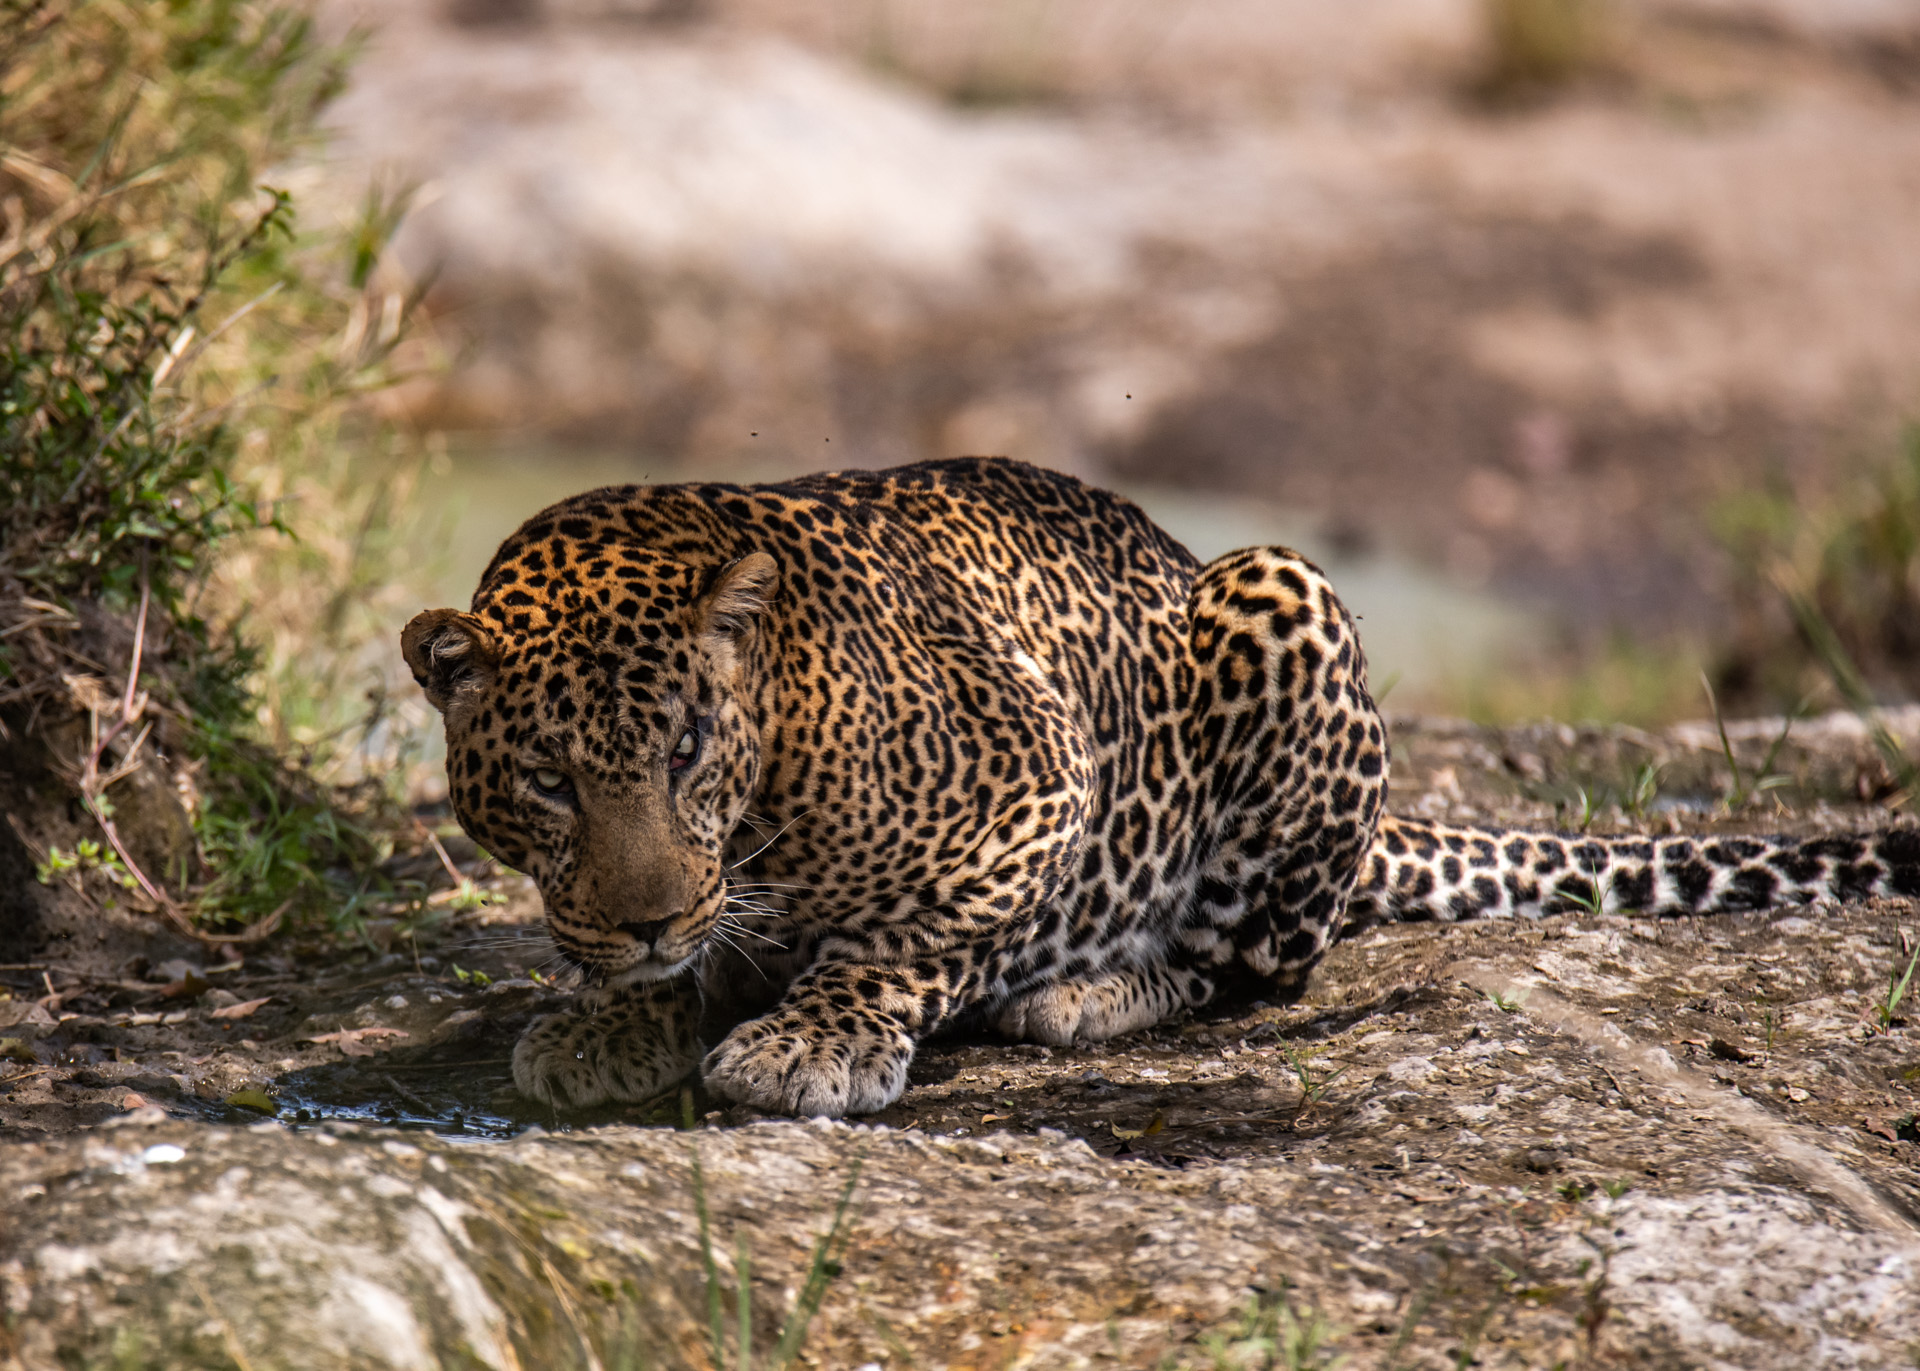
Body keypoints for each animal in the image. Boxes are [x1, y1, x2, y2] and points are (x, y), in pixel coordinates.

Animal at [401, 453, 1920, 1113]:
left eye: (686, 751)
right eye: (549, 779)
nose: (649, 918)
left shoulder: (1031, 793)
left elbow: (899, 942)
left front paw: (808, 1038)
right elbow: (687, 945)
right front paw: (620, 1010)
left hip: (1282, 596)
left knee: (1253, 963)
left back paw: (1091, 990)